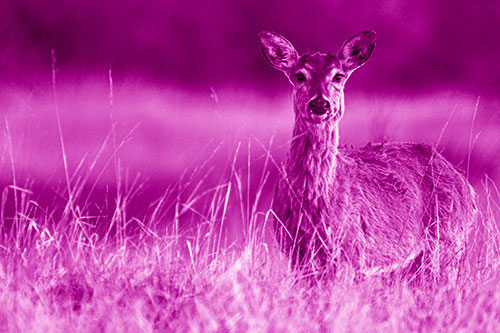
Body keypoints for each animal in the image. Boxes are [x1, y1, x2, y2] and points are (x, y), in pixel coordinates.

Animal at [258, 29, 476, 282]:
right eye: (299, 76)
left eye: (338, 76)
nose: (320, 103)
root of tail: (466, 186)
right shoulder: (295, 253)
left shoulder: (351, 253)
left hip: (448, 243)